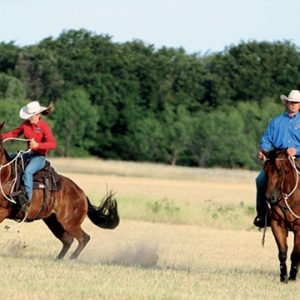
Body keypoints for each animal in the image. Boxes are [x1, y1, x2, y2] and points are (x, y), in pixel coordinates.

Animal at [0, 122, 119, 260]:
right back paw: (58, 259)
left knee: (83, 238)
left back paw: (72, 259)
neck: (7, 176)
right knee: (68, 240)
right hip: (54, 221)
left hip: (69, 223)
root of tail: (82, 194)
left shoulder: (3, 211)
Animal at [262, 149, 300, 282]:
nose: (270, 197)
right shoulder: (277, 224)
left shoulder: (299, 228)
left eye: (279, 169)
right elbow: (282, 252)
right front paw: (283, 276)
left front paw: (293, 276)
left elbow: (295, 254)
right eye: (265, 169)